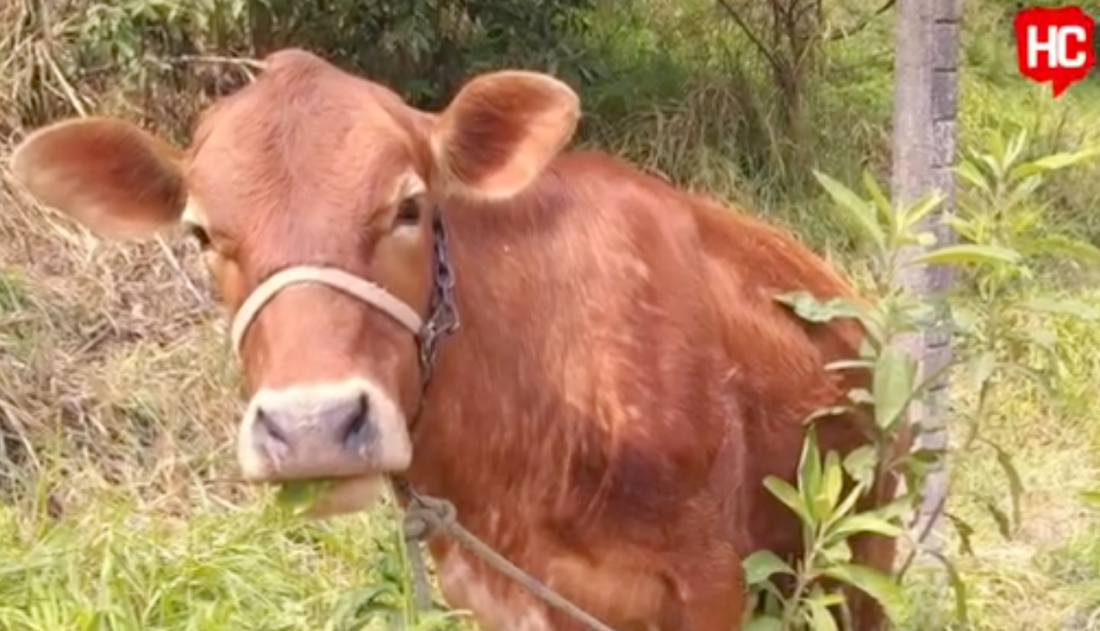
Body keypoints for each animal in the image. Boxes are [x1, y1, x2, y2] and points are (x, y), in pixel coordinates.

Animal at [8, 49, 906, 631]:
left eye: (409, 206)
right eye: (199, 232)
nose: (312, 427)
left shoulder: (708, 579)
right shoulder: (497, 594)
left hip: (864, 550)